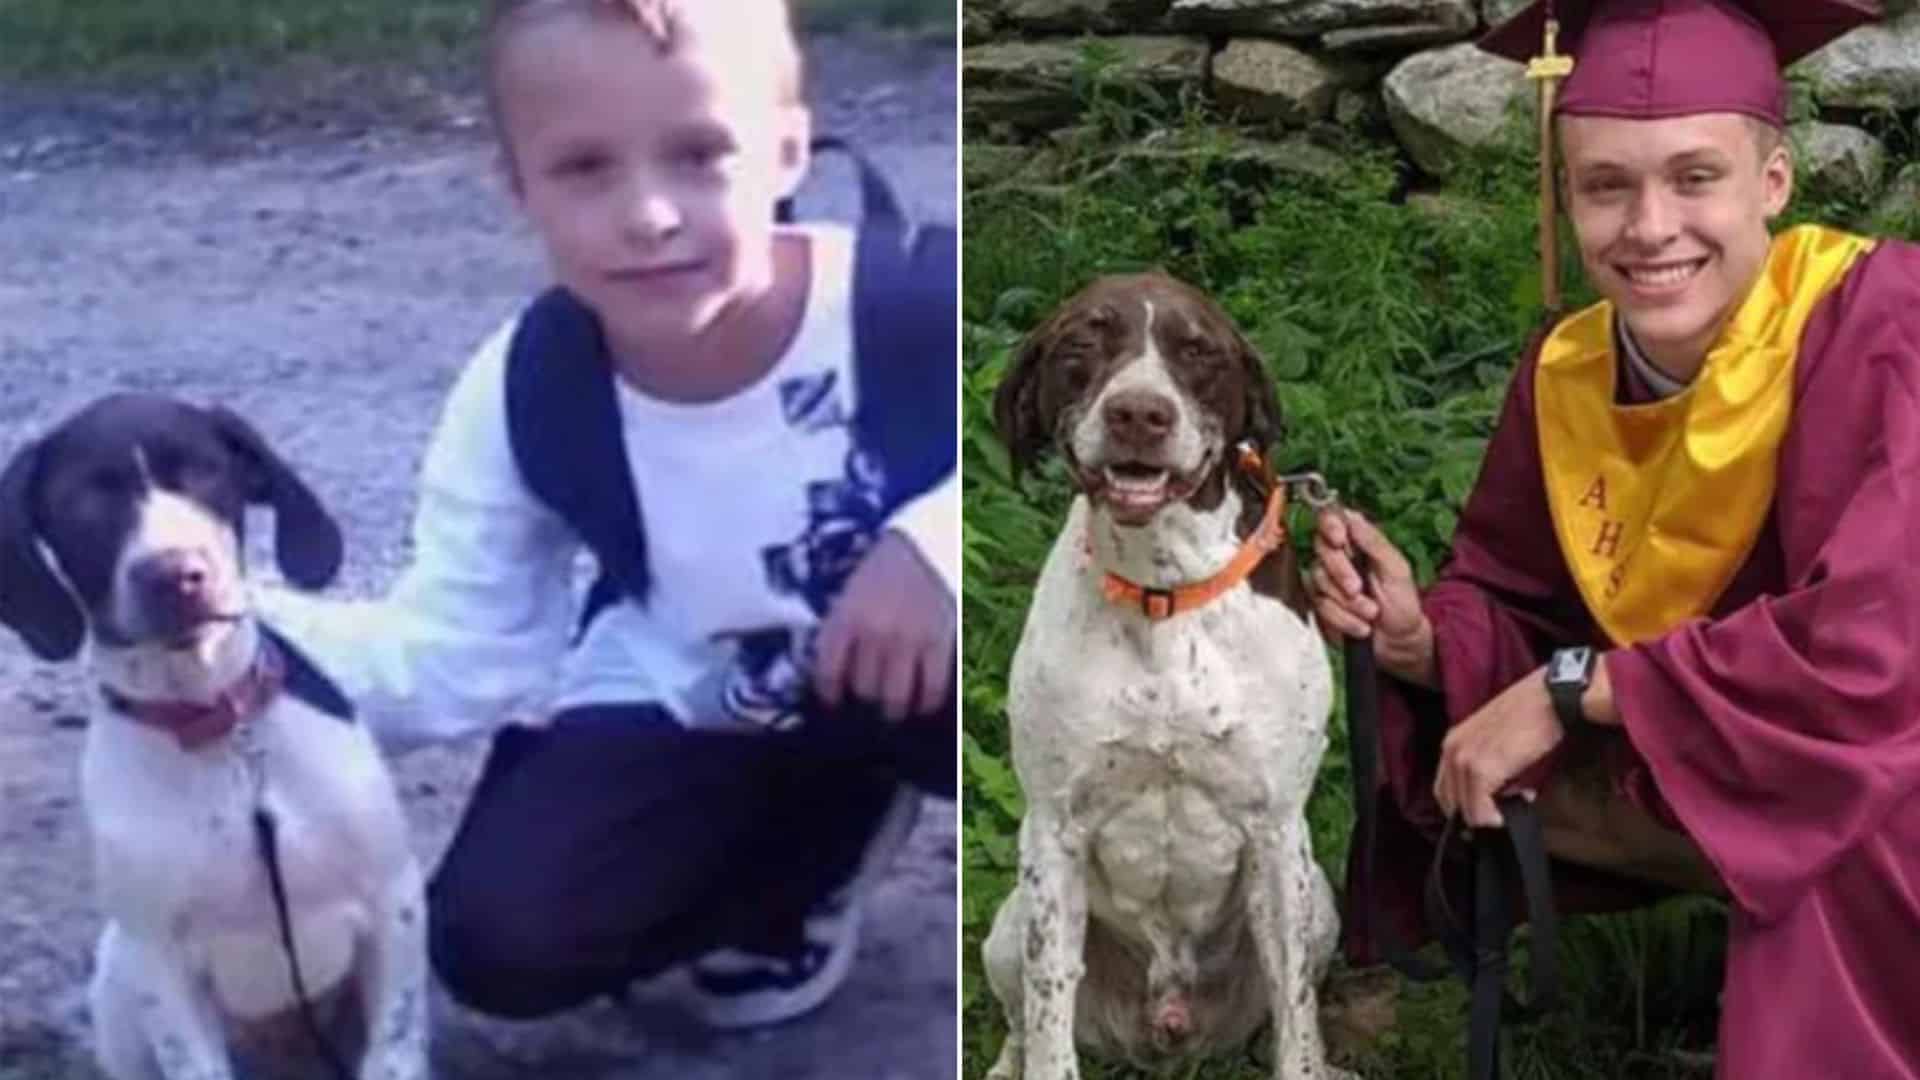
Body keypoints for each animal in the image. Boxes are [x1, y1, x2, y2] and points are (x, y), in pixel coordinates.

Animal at [0, 395, 428, 1076]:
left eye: (204, 470)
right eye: (82, 499)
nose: (176, 575)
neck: (220, 731)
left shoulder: (396, 903)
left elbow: (394, 1051)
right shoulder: (159, 962)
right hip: (116, 980)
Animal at [983, 272, 1344, 1068]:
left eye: (1197, 350)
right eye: (1084, 339)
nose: (1139, 414)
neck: (1163, 587)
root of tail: (1170, 1026)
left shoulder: (1278, 830)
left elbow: (1297, 1021)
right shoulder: (1053, 832)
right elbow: (1048, 1021)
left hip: (1321, 901)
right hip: (1008, 924)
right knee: (1023, 1018)